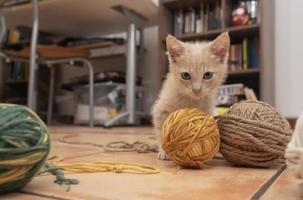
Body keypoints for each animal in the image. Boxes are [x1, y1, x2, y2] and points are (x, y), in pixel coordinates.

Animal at [152, 31, 230, 159]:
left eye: (208, 75)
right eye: (186, 76)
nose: (196, 90)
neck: (191, 100)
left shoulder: (207, 111)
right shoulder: (160, 109)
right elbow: (161, 130)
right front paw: (165, 150)